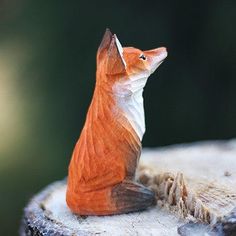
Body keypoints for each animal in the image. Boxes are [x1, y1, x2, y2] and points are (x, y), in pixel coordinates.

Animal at [65, 28, 167, 215]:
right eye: (143, 57)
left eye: (141, 52)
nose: (164, 48)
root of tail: (71, 199)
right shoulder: (130, 161)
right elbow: (141, 187)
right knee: (147, 195)